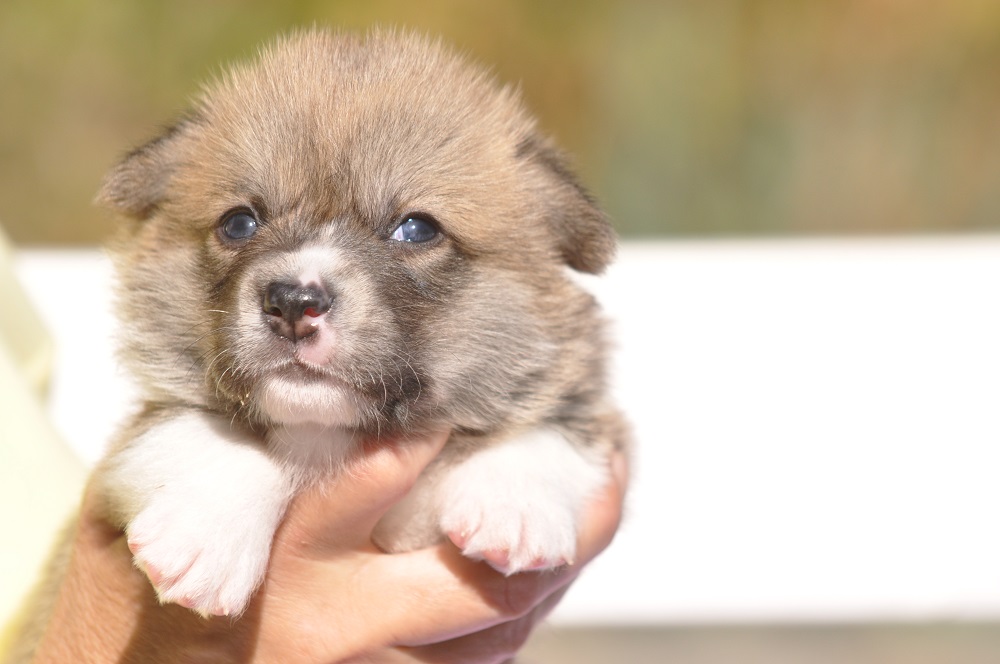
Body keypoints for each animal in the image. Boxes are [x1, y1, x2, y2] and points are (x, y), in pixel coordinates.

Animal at [72, 28, 624, 624]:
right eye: (239, 222)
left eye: (417, 229)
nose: (293, 302)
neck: (326, 436)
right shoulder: (134, 443)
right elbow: (196, 431)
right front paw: (205, 534)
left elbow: (552, 427)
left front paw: (516, 506)